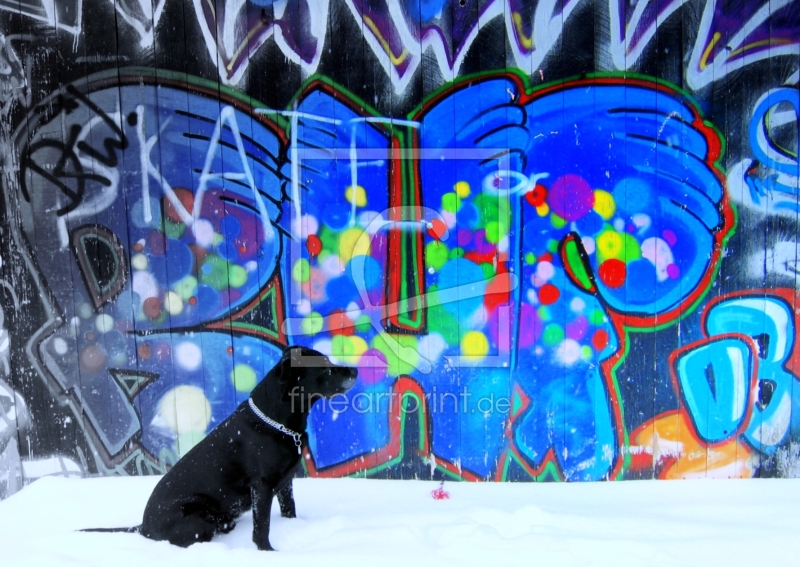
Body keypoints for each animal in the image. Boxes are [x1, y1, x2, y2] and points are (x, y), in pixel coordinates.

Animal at [83, 346, 354, 552]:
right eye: (325, 366)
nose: (354, 369)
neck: (278, 421)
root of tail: (143, 526)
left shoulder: (285, 482)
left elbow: (289, 509)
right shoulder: (262, 486)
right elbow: (262, 525)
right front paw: (266, 552)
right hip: (197, 519)